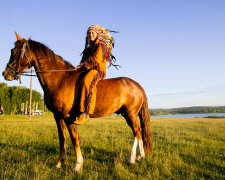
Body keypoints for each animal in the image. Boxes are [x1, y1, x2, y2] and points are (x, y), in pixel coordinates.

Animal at [1, 33, 152, 172]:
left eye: (14, 51)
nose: (5, 74)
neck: (60, 79)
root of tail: (137, 85)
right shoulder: (58, 116)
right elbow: (62, 139)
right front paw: (59, 163)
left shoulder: (68, 117)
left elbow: (74, 138)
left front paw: (77, 165)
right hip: (128, 114)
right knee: (138, 132)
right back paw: (140, 156)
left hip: (130, 114)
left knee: (137, 132)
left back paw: (131, 158)